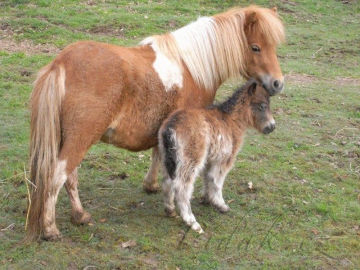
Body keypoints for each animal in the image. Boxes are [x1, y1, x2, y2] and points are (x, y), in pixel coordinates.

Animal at [158, 79, 276, 233]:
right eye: (262, 106)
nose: (272, 127)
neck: (232, 119)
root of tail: (171, 127)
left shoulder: (210, 159)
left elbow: (208, 178)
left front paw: (207, 199)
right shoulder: (225, 159)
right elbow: (217, 181)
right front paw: (220, 204)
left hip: (168, 158)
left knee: (167, 181)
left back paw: (170, 210)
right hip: (190, 160)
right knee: (182, 187)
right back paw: (191, 221)